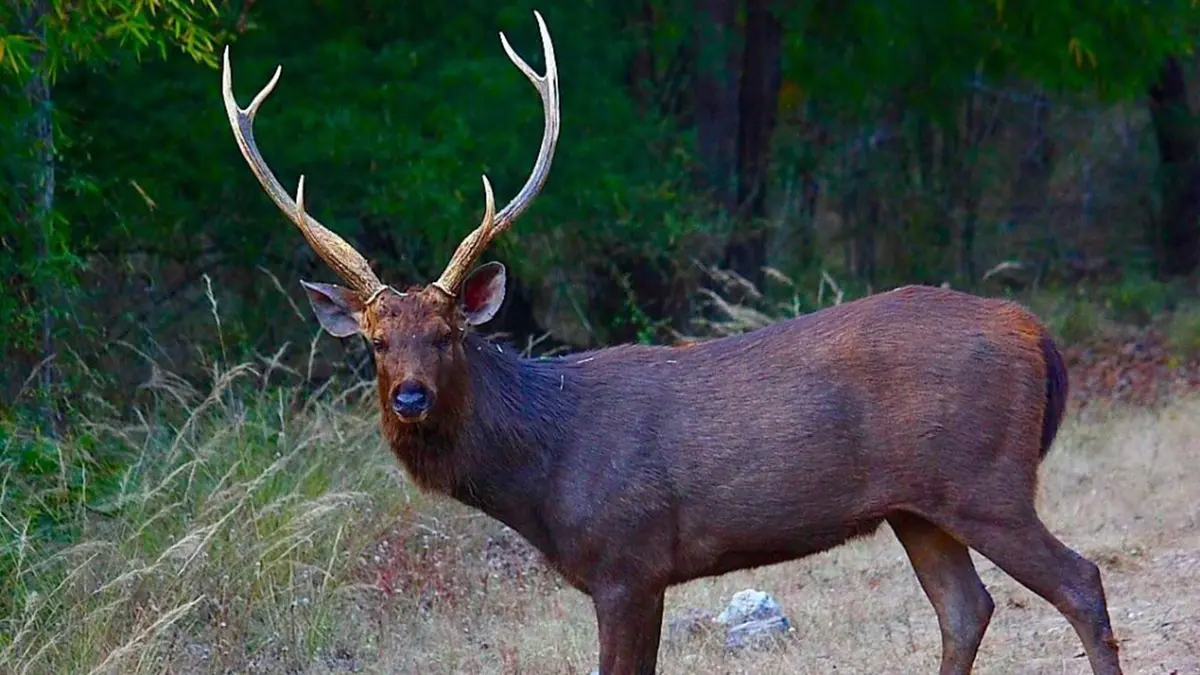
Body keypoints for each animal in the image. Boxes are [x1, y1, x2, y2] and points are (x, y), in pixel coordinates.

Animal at [219, 11, 1124, 675]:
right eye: (375, 342)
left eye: (447, 336)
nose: (410, 397)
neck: (541, 470)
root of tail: (1034, 332)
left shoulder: (630, 558)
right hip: (919, 503)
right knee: (967, 608)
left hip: (985, 477)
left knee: (1079, 581)